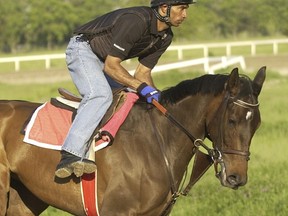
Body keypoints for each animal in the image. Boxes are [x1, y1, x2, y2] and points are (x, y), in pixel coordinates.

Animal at [0, 66, 266, 215]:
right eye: (231, 120)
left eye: (257, 123)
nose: (237, 177)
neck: (157, 143)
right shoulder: (115, 211)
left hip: (25, 198)